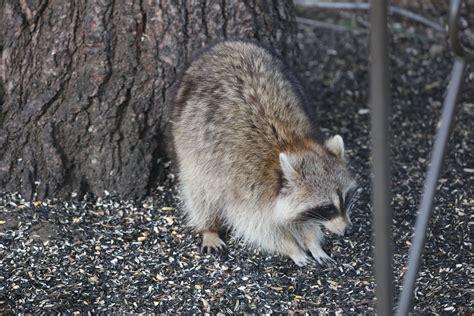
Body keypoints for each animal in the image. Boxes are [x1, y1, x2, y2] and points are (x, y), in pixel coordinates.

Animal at [172, 39, 358, 266]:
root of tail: (226, 44)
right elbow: (258, 228)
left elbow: (301, 222)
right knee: (200, 192)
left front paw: (312, 242)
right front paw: (292, 248)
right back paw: (208, 227)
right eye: (327, 208)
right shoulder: (244, 189)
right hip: (190, 143)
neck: (289, 146)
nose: (347, 230)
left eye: (346, 199)